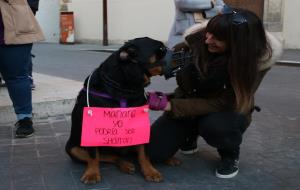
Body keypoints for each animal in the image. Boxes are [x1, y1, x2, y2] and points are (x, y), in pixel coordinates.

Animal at [65, 37, 168, 184]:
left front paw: (150, 170)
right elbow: (93, 156)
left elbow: (144, 153)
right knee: (108, 157)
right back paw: (125, 164)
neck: (125, 89)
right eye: (161, 49)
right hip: (73, 148)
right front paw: (92, 173)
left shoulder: (141, 125)